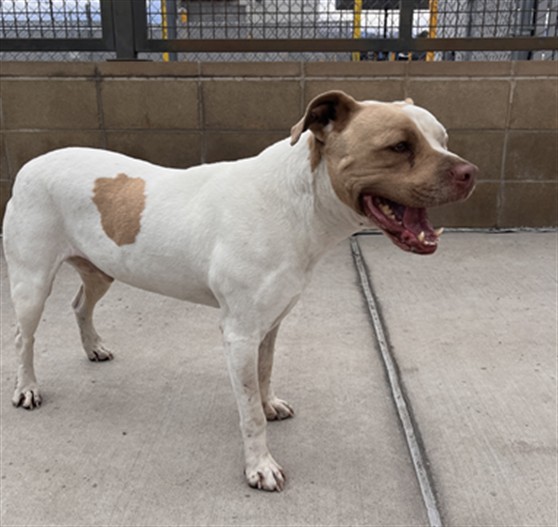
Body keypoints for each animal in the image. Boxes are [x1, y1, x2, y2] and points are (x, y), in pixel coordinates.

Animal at [3, 90, 477, 491]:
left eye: (443, 139)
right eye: (399, 146)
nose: (470, 172)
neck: (300, 202)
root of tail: (31, 164)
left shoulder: (269, 324)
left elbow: (264, 376)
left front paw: (269, 405)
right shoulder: (240, 334)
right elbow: (248, 413)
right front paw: (260, 467)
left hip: (101, 270)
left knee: (80, 305)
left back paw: (94, 347)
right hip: (31, 283)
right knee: (24, 337)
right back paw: (27, 388)